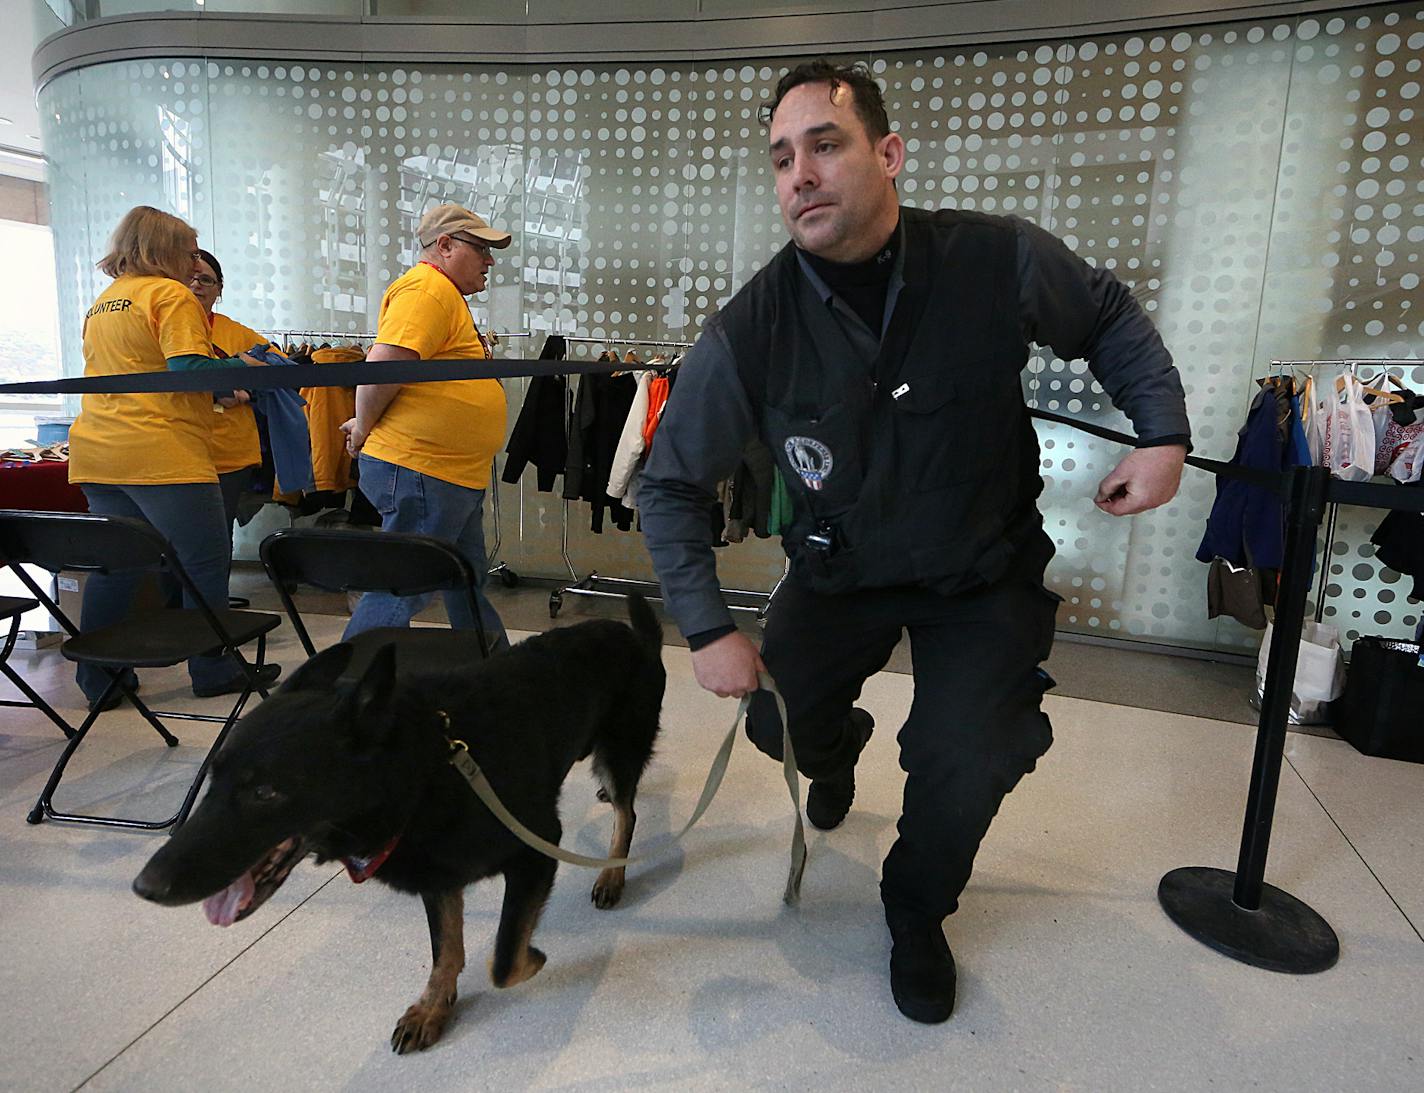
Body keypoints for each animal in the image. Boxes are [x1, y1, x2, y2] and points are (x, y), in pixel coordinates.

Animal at [134, 592, 666, 1053]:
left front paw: (529, 959)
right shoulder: (437, 875)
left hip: (620, 752)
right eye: (213, 776)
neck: (426, 771)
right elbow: (446, 949)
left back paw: (612, 874)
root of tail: (637, 635)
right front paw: (433, 1007)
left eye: (266, 792)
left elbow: (504, 960)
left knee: (627, 813)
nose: (144, 887)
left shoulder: (535, 848)